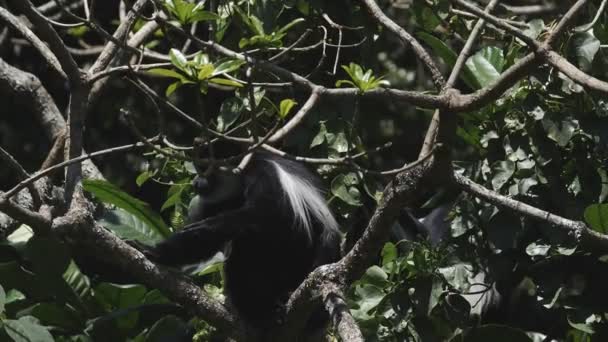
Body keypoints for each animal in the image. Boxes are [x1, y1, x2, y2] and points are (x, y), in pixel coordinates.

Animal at [143, 152, 342, 326]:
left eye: (207, 171)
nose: (196, 182)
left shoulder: (265, 175)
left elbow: (261, 214)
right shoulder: (211, 204)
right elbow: (203, 244)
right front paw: (159, 252)